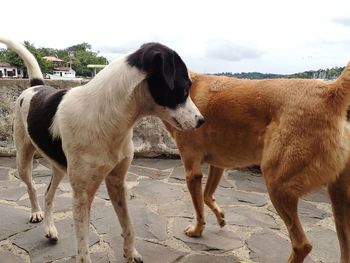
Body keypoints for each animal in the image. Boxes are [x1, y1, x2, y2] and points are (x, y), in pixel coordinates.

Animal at [0, 37, 204, 263]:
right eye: (184, 88)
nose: (201, 121)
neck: (111, 119)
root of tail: (36, 87)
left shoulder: (117, 182)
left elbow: (129, 225)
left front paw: (130, 253)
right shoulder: (82, 195)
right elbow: (83, 248)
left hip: (60, 167)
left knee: (48, 194)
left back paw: (50, 229)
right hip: (23, 160)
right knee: (33, 186)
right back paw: (36, 213)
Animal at [163, 65, 350, 262]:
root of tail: (330, 91)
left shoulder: (193, 172)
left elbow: (199, 207)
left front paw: (197, 230)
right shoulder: (218, 165)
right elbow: (207, 196)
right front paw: (220, 217)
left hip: (278, 186)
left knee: (301, 245)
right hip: (339, 199)